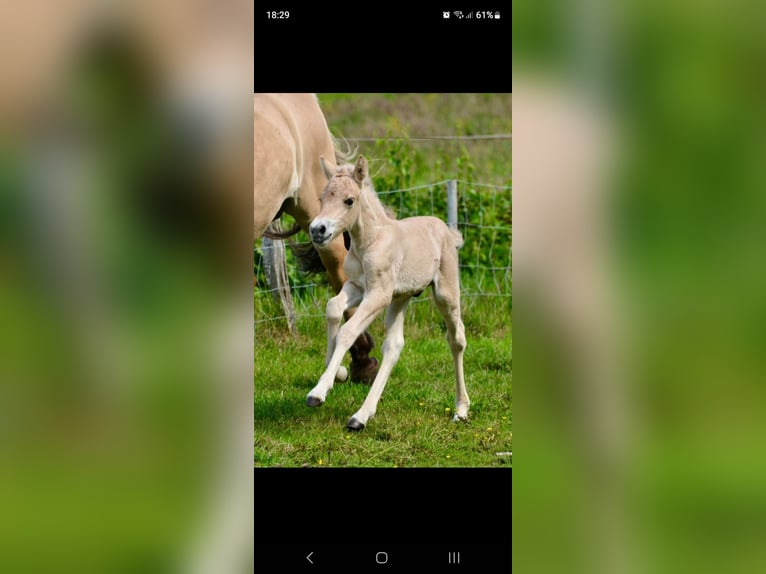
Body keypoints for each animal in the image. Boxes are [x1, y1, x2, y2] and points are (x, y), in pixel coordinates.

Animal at [305, 155, 470, 430]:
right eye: (322, 198)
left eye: (349, 200)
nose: (318, 230)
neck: (369, 241)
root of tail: (446, 230)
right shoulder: (357, 286)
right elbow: (333, 308)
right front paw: (336, 372)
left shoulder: (378, 294)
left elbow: (348, 331)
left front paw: (318, 392)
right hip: (400, 298)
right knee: (394, 346)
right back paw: (360, 416)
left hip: (444, 293)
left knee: (456, 338)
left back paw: (461, 408)